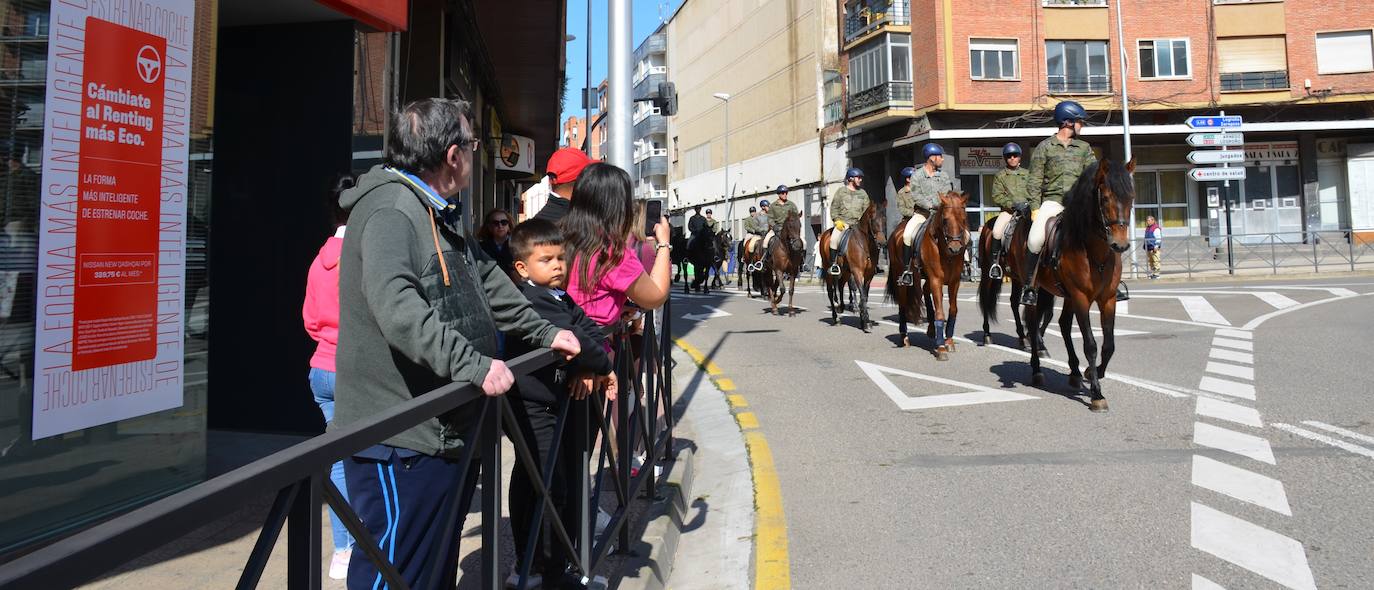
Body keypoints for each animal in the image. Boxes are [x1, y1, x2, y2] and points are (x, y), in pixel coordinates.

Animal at [813, 200, 890, 331]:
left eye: (885, 219)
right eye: (873, 220)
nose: (882, 243)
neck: (866, 244)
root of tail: (825, 234)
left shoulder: (869, 275)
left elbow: (865, 295)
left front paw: (863, 319)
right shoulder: (857, 272)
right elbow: (862, 294)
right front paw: (866, 322)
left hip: (845, 271)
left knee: (840, 285)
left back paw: (842, 306)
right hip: (830, 271)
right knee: (830, 292)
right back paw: (835, 317)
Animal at [884, 192, 972, 357]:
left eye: (964, 219)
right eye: (945, 220)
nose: (955, 248)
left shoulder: (954, 282)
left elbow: (952, 310)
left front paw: (948, 341)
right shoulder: (936, 280)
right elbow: (940, 313)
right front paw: (941, 347)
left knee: (925, 292)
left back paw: (931, 329)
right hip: (904, 279)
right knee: (903, 305)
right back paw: (904, 338)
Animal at [1027, 158, 1132, 412]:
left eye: (1131, 197)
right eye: (1105, 198)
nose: (1120, 244)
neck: (1095, 252)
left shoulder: (1108, 299)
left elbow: (1109, 345)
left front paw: (1092, 373)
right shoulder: (1082, 298)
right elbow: (1091, 344)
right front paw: (1096, 393)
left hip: (1065, 295)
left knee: (1064, 324)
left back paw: (1074, 371)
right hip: (1039, 291)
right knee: (1033, 325)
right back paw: (1036, 369)